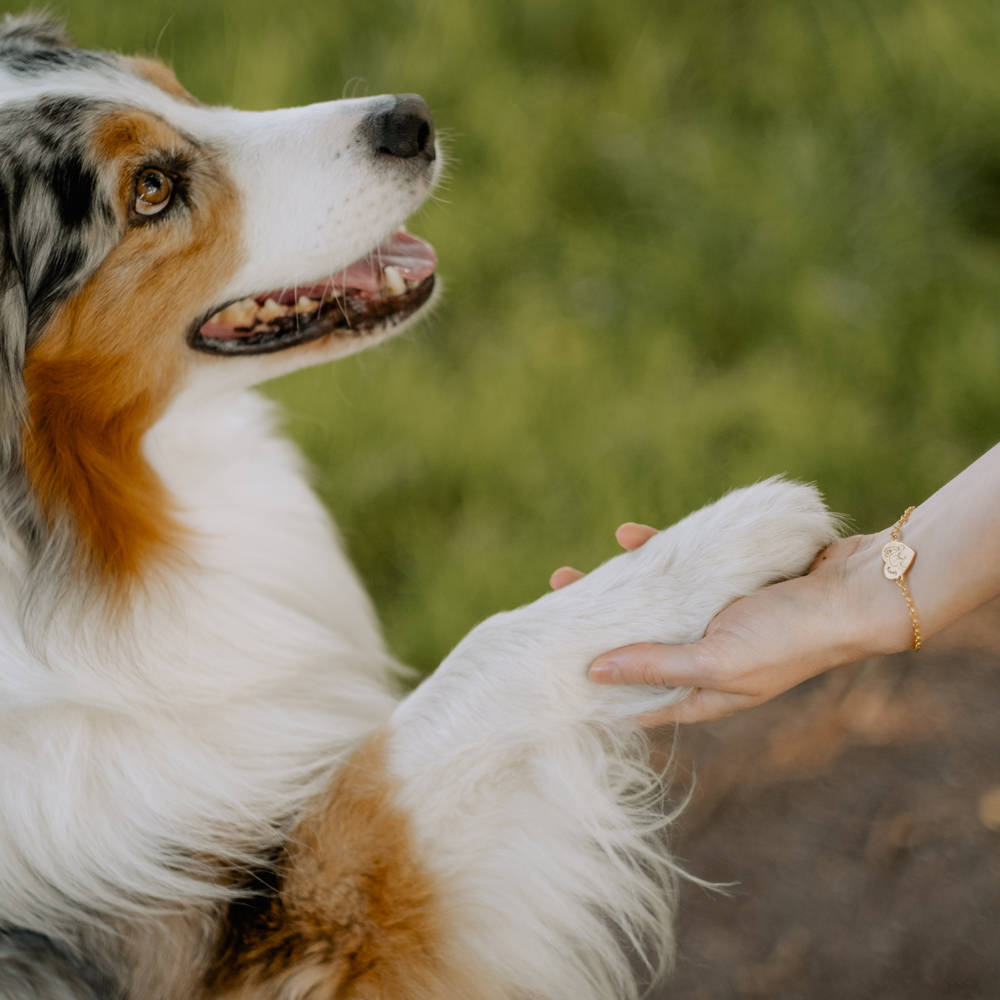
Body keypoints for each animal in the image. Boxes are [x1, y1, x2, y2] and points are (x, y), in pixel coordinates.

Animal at [0, 15, 844, 1000]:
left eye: (172, 84)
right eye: (152, 190)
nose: (410, 120)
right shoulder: (274, 939)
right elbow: (461, 679)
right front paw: (703, 549)